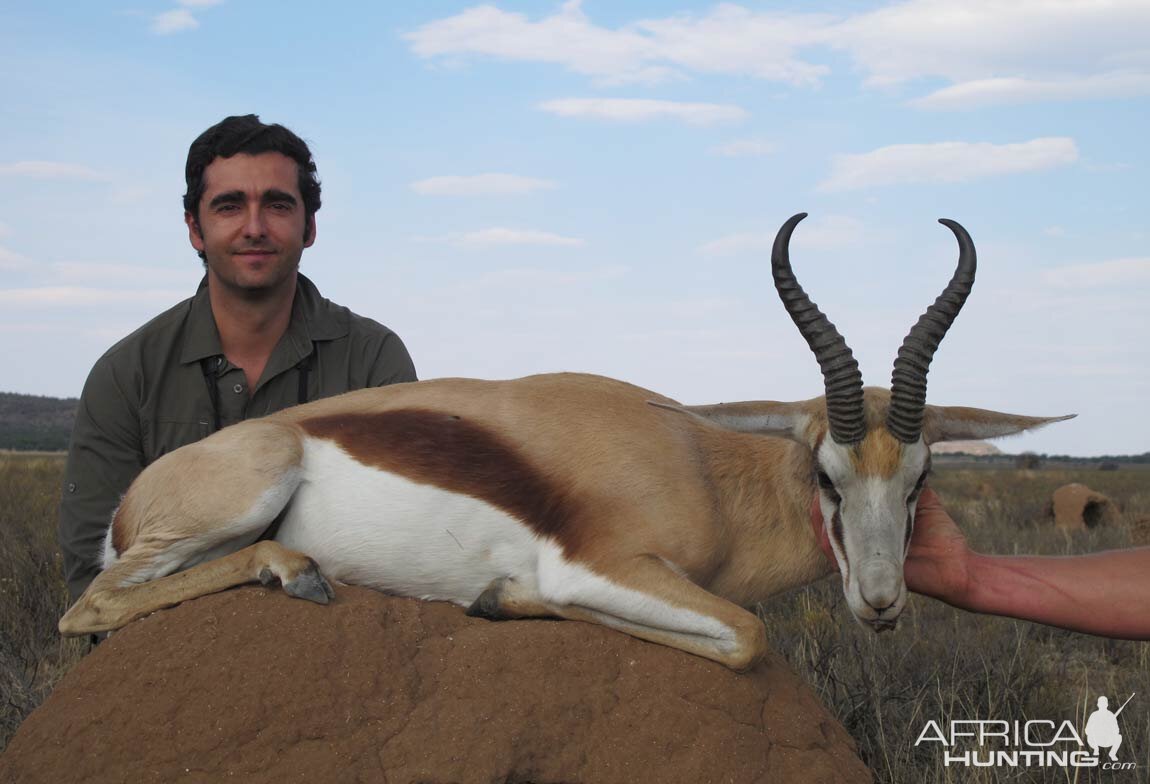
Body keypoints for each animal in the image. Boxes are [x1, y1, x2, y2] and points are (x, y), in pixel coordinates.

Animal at [60, 212, 1067, 666]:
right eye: (826, 474)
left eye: (921, 479)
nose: (882, 602)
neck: (703, 472)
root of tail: (132, 502)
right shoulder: (599, 568)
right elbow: (745, 637)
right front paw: (502, 599)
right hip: (251, 484)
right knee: (90, 606)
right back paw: (295, 571)